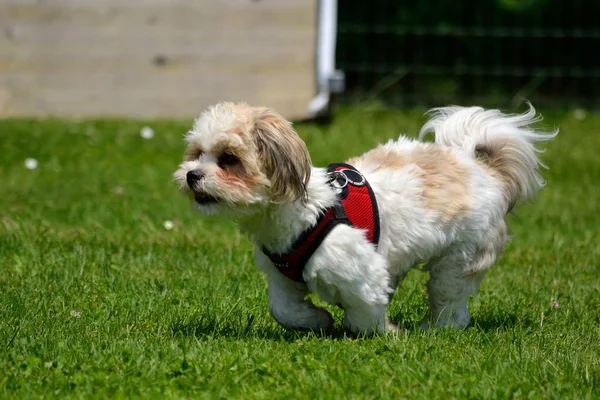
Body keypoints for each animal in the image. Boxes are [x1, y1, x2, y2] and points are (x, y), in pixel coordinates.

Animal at [173, 101, 556, 336]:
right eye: (197, 154)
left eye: (228, 159)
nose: (192, 175)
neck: (304, 211)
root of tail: (480, 168)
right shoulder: (281, 274)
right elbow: (283, 308)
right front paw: (317, 321)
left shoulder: (361, 271)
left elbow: (365, 313)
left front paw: (385, 332)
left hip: (460, 258)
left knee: (451, 300)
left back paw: (436, 328)